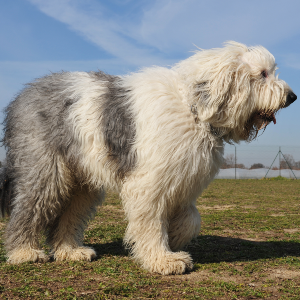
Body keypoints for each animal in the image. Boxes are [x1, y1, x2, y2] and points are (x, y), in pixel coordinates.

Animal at [0, 41, 296, 274]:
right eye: (262, 74)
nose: (292, 97)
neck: (193, 109)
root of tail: (21, 96)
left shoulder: (183, 180)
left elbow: (191, 219)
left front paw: (175, 238)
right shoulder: (149, 183)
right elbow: (151, 221)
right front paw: (163, 260)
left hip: (82, 181)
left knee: (70, 214)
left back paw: (70, 251)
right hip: (45, 170)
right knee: (28, 209)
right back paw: (23, 252)